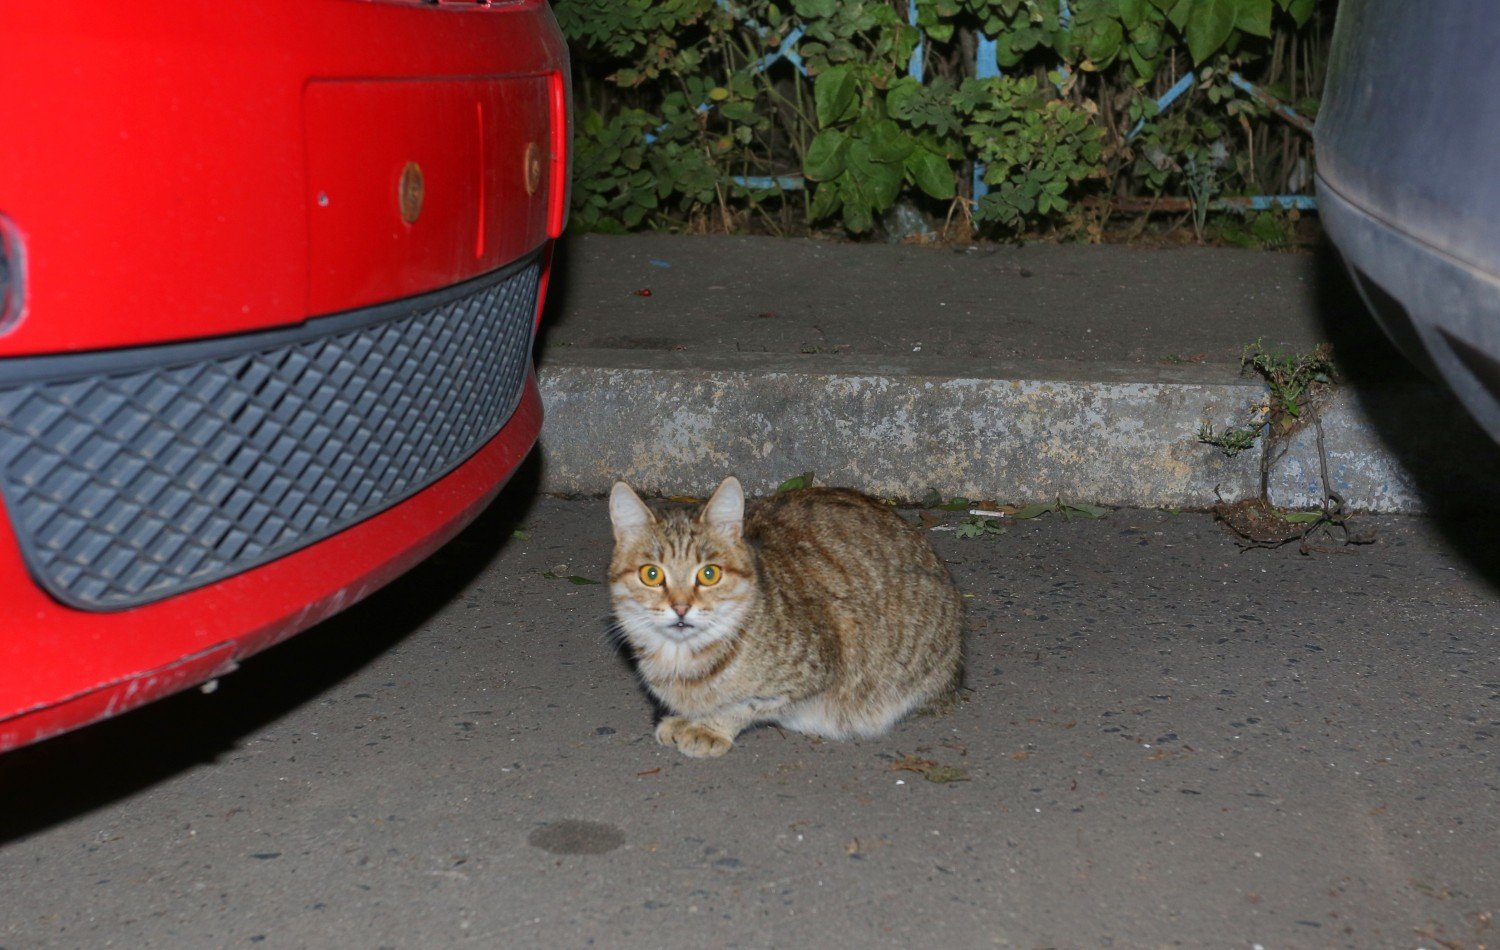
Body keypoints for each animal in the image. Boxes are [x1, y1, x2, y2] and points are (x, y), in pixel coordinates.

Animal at [606, 474, 960, 756]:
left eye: (709, 574)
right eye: (651, 574)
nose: (681, 607)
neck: (681, 660)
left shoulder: (818, 670)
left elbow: (744, 704)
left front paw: (709, 725)